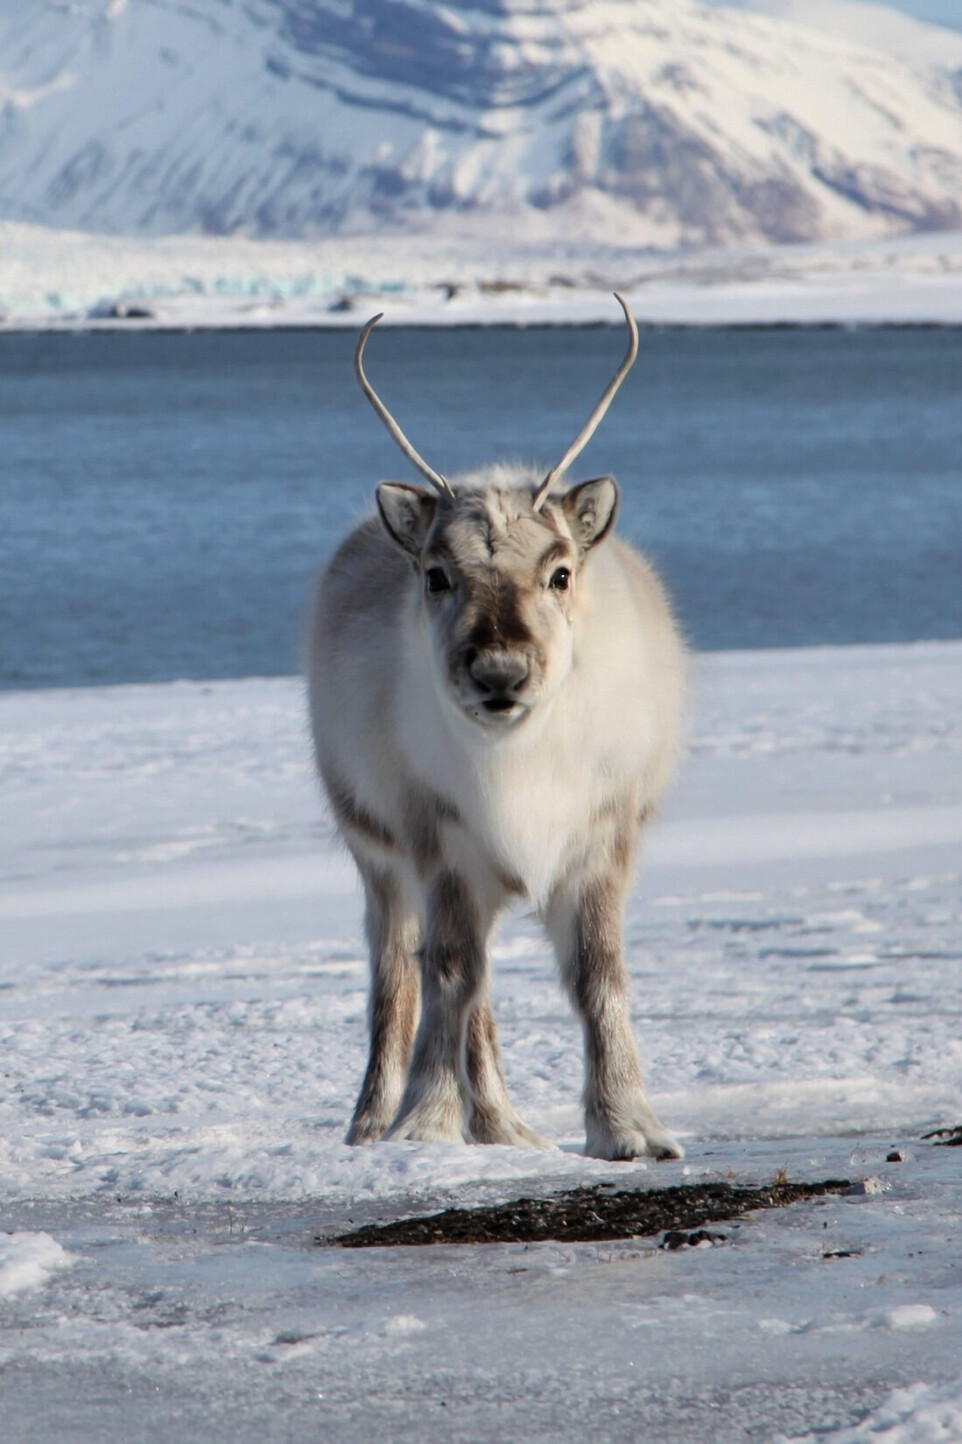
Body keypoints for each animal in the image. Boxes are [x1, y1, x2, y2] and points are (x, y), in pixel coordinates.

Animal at [307, 296, 686, 1161]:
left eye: (560, 571)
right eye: (437, 574)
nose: (500, 674)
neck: (518, 763)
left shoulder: (600, 837)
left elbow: (598, 977)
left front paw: (630, 1128)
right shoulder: (440, 839)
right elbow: (448, 973)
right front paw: (424, 1124)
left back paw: (505, 1127)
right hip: (378, 859)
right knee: (401, 973)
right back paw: (380, 1122)